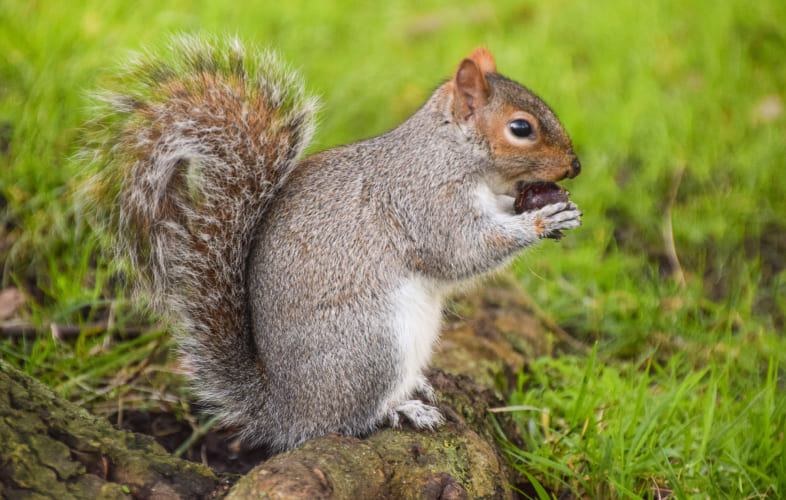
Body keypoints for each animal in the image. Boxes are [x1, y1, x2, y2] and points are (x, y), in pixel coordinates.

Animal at [82, 35, 582, 453]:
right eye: (521, 129)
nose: (575, 166)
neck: (451, 151)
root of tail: (284, 410)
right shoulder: (424, 198)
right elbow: (460, 252)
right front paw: (541, 220)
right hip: (373, 343)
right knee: (346, 421)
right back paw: (401, 408)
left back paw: (415, 387)